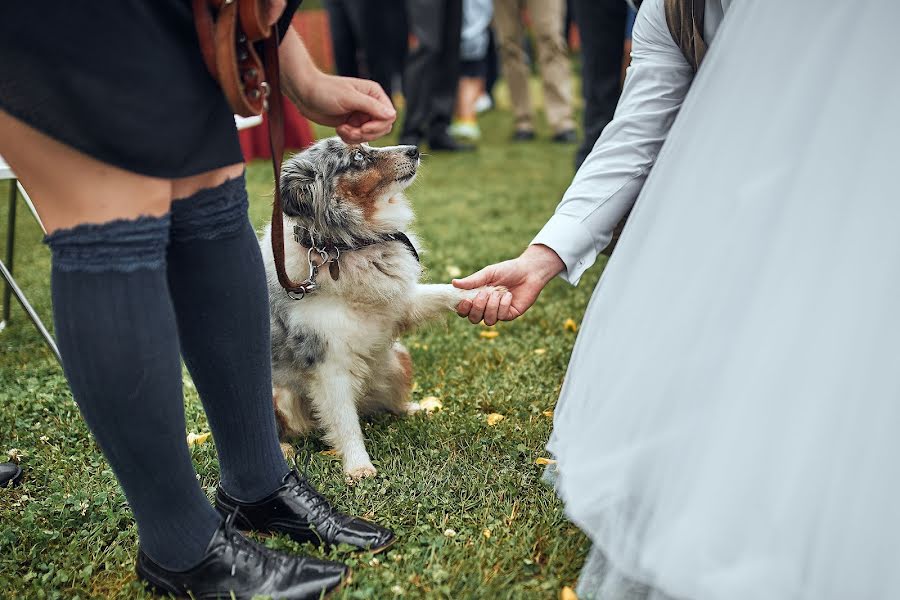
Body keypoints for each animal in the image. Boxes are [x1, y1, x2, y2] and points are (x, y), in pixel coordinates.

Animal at [260, 138, 496, 480]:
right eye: (358, 156)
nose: (414, 149)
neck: (344, 247)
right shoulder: (328, 362)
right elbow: (345, 423)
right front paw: (359, 467)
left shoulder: (400, 305)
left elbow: (445, 291)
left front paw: (490, 293)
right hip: (279, 394)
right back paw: (285, 449)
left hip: (399, 358)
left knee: (391, 404)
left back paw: (418, 408)